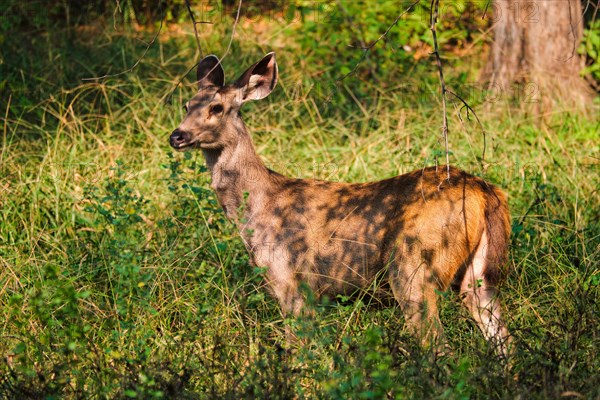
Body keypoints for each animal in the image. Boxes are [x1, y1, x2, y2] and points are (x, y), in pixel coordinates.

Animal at [169, 52, 510, 356]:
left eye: (217, 107)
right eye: (186, 105)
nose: (177, 135)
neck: (256, 208)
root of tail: (484, 191)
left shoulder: (292, 283)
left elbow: (298, 352)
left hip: (413, 267)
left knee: (440, 346)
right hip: (477, 277)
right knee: (502, 338)